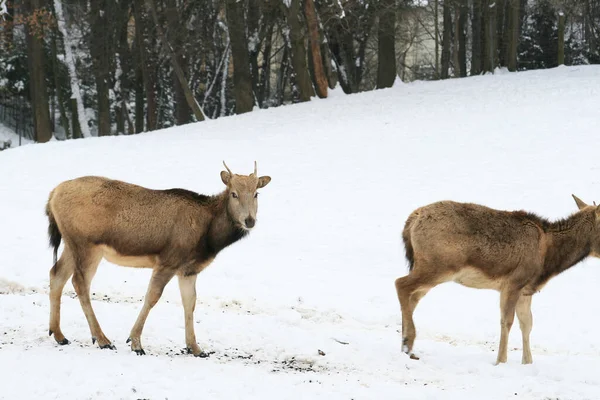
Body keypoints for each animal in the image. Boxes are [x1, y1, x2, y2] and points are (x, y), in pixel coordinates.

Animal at [45, 161, 270, 358]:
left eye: (256, 193)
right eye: (234, 193)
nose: (249, 220)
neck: (208, 238)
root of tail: (52, 194)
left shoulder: (188, 270)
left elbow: (190, 303)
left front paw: (195, 348)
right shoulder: (168, 260)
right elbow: (152, 297)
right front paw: (136, 343)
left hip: (72, 244)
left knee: (56, 274)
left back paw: (59, 334)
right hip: (87, 245)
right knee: (79, 282)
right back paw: (102, 339)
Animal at [394, 195, 600, 366]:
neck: (548, 260)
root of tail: (412, 220)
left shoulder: (526, 290)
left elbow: (527, 324)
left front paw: (527, 362)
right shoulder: (513, 282)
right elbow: (507, 321)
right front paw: (501, 361)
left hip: (429, 269)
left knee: (412, 298)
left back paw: (406, 347)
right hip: (438, 266)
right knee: (401, 284)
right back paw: (407, 341)